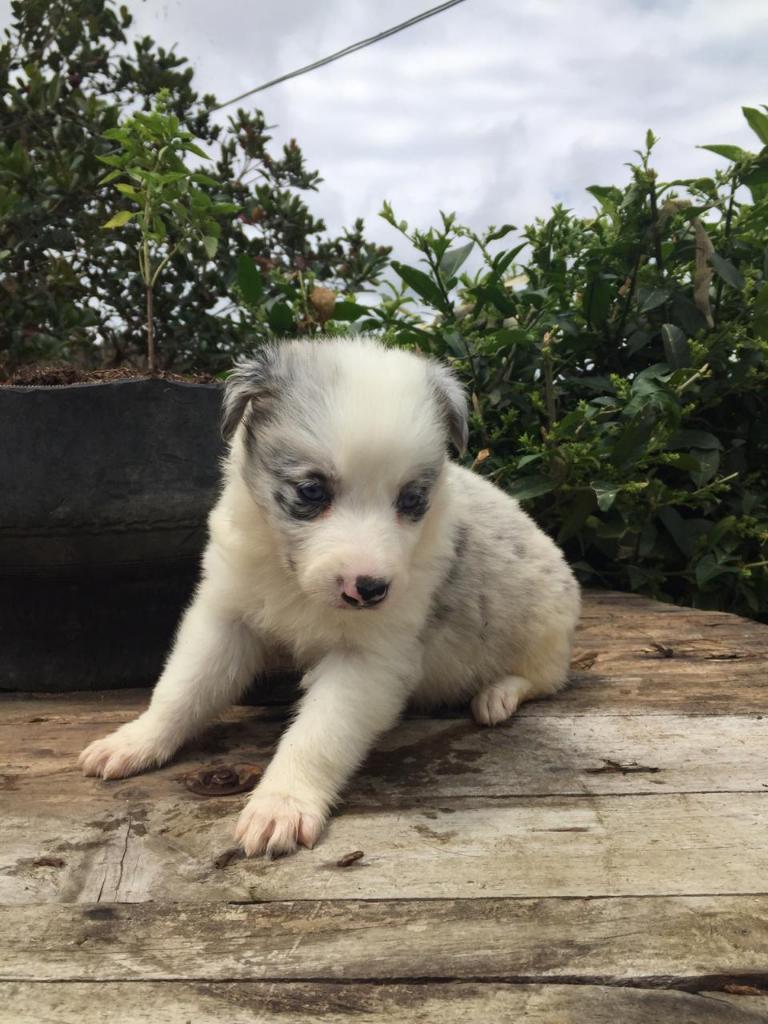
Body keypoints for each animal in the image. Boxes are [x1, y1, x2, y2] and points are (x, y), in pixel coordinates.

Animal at [79, 335, 581, 856]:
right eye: (312, 491)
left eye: (411, 500)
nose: (370, 589)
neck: (294, 582)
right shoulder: (226, 617)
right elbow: (182, 689)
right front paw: (137, 740)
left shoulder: (367, 660)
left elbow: (318, 735)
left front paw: (281, 803)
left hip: (544, 627)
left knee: (545, 679)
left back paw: (498, 694)